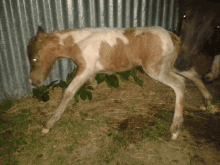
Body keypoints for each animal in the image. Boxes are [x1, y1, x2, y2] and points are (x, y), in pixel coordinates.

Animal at [27, 26, 217, 140]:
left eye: (34, 58)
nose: (32, 81)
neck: (79, 42)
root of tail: (172, 36)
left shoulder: (86, 68)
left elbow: (68, 92)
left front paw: (48, 124)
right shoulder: (89, 70)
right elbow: (89, 84)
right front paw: (92, 85)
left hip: (155, 69)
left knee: (179, 83)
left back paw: (176, 128)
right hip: (170, 64)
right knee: (192, 73)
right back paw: (208, 103)